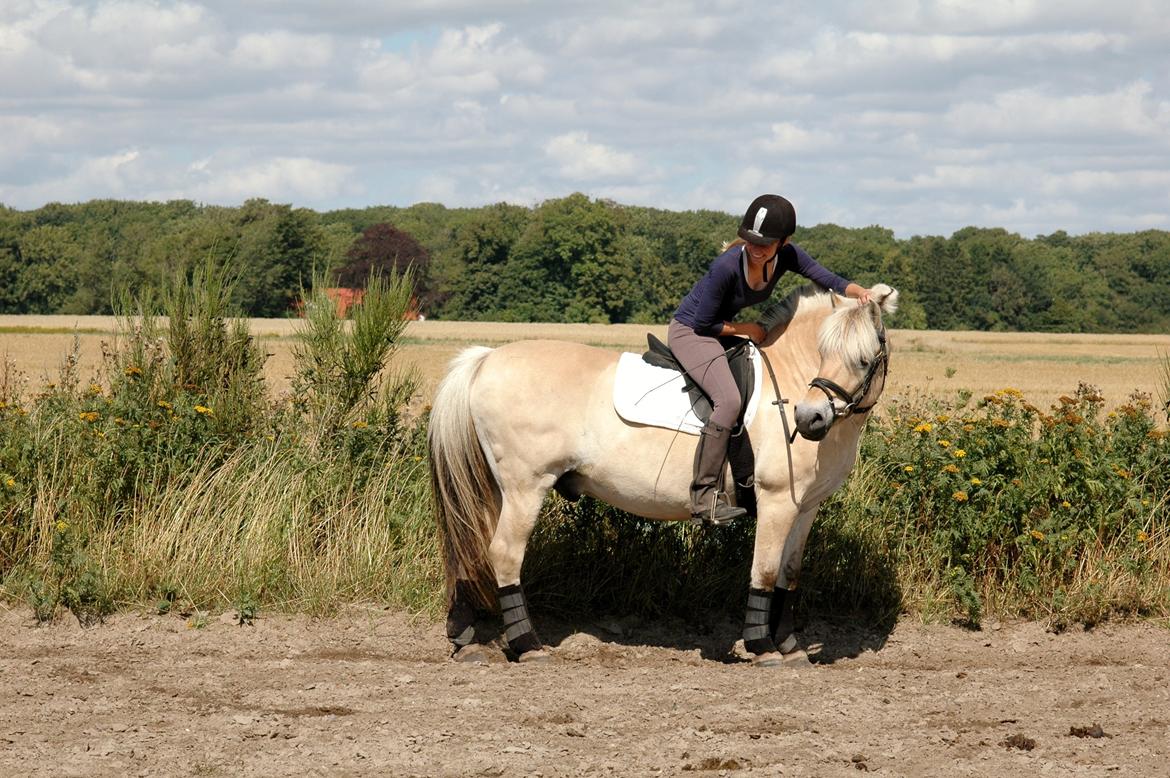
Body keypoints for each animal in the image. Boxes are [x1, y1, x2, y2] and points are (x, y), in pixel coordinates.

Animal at [428, 283, 899, 665]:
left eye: (863, 360)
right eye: (824, 352)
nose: (809, 418)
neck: (787, 380)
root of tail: (487, 358)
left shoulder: (805, 506)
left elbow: (789, 572)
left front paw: (789, 645)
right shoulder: (777, 500)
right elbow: (765, 572)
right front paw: (763, 647)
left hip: (498, 487)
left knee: (471, 544)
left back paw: (466, 638)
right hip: (526, 486)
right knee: (505, 553)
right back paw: (527, 645)